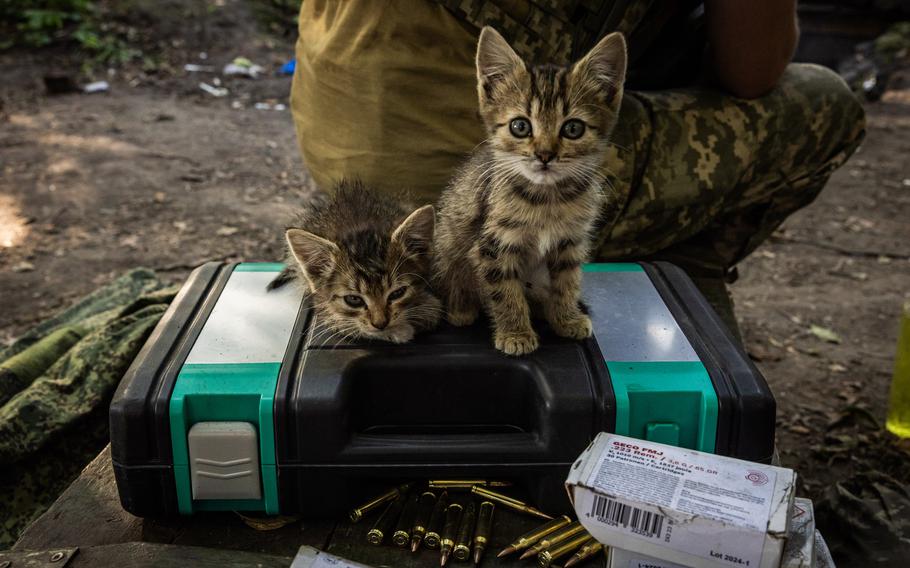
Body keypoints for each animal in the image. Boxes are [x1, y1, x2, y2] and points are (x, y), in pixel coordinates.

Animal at [270, 180, 442, 344]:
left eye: (398, 293)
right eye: (354, 300)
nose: (381, 324)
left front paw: (426, 307)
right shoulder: (320, 301)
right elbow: (346, 324)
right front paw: (398, 330)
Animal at [434, 27, 628, 356]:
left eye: (573, 129)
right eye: (520, 126)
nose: (545, 155)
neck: (547, 199)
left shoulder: (570, 243)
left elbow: (567, 282)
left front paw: (566, 318)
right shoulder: (492, 247)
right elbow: (504, 292)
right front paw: (515, 333)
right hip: (447, 247)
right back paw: (462, 309)